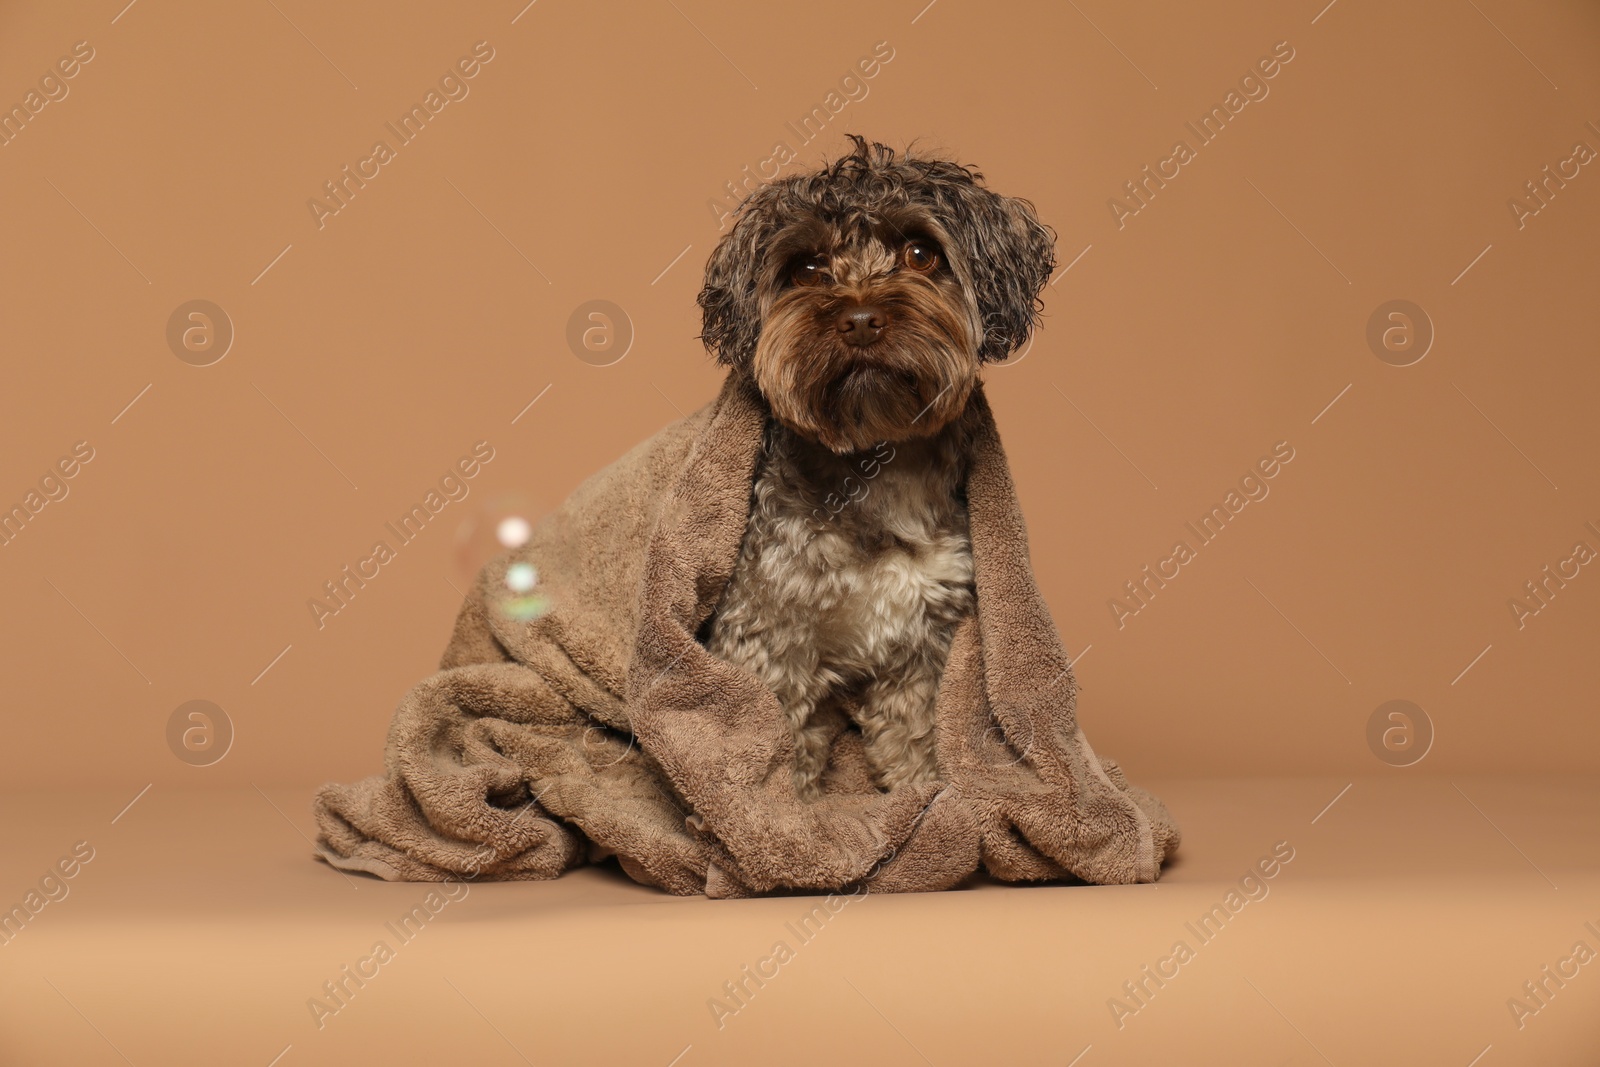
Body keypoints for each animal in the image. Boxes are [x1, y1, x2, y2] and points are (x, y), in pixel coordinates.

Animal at [697, 133, 1049, 796]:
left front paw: (920, 799)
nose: (859, 319)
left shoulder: (923, 643)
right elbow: (776, 753)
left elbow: (912, 736)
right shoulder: (768, 638)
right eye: (808, 269)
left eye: (921, 253)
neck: (877, 467)